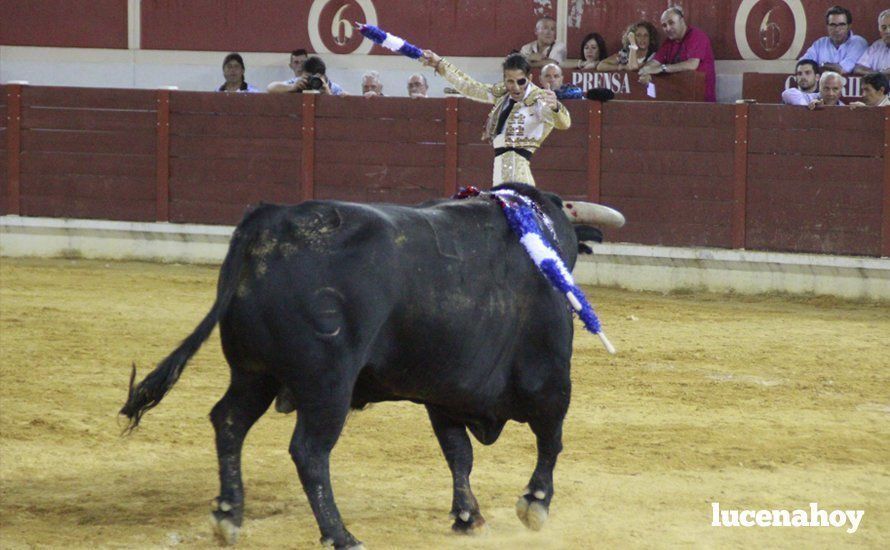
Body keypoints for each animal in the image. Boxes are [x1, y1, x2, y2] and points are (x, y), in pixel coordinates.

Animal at [121, 184, 600, 548]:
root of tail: (270, 220)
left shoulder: (441, 391)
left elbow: (458, 455)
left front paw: (468, 517)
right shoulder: (551, 381)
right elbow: (550, 441)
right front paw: (535, 505)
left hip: (253, 371)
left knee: (229, 421)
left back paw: (228, 515)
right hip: (327, 383)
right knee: (309, 452)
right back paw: (340, 535)